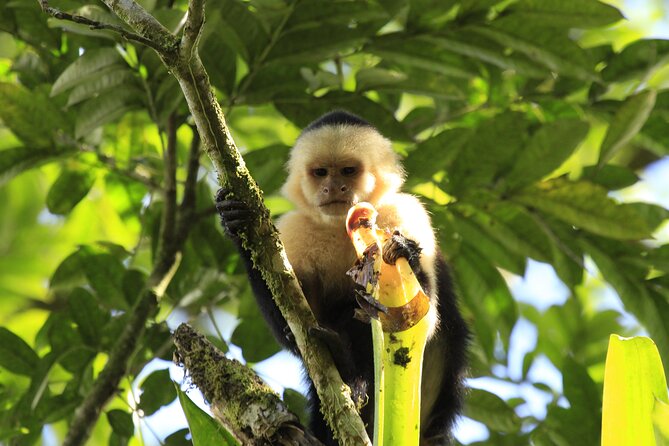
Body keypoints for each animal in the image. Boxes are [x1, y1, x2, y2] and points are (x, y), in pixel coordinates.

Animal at [217, 110, 468, 444]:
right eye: (321, 172)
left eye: (348, 171)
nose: (334, 188)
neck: (340, 225)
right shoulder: (295, 228)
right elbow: (294, 320)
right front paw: (234, 222)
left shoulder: (404, 211)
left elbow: (423, 316)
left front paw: (406, 253)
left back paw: (351, 372)